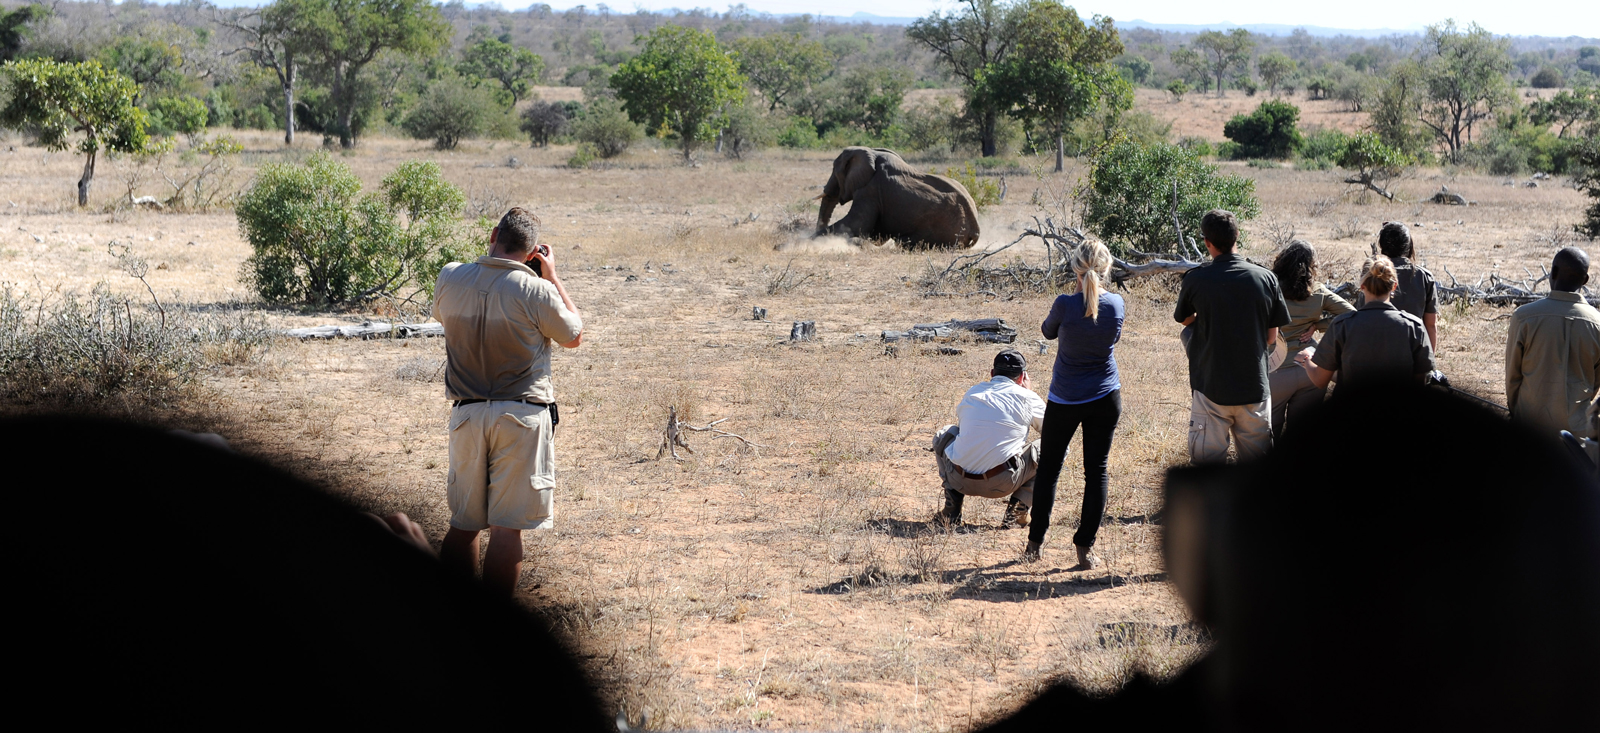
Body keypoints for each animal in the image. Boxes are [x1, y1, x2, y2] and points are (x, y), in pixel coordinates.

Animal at [819, 145, 979, 249]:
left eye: (834, 170)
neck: (871, 151)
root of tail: (975, 231)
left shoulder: (870, 190)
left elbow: (856, 224)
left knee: (904, 242)